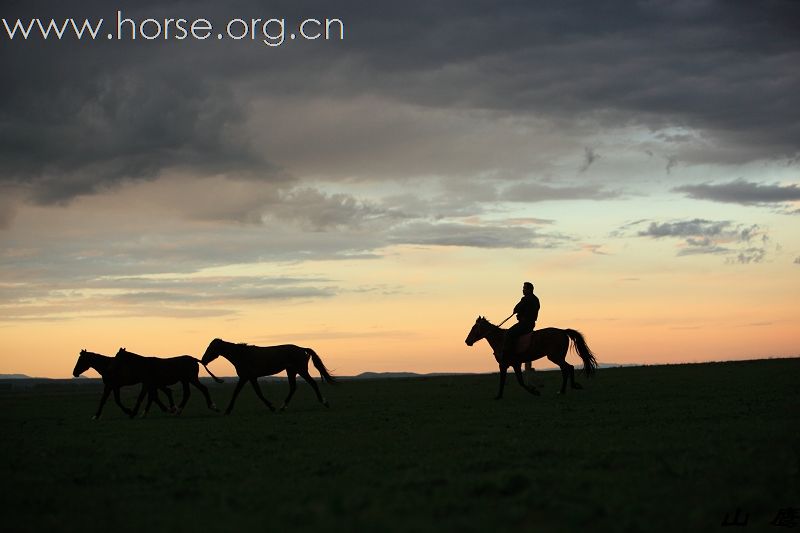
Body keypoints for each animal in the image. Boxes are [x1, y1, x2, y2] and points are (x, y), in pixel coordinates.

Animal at [203, 336, 338, 416]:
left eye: (211, 348)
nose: (203, 360)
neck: (242, 355)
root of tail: (302, 349)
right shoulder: (251, 378)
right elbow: (258, 393)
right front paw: (271, 407)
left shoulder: (245, 377)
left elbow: (237, 392)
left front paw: (227, 410)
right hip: (291, 371)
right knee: (293, 388)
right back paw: (282, 407)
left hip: (301, 370)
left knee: (313, 383)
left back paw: (324, 402)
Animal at [466, 316, 596, 400]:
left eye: (474, 328)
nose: (467, 341)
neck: (500, 339)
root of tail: (563, 331)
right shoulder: (513, 364)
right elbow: (515, 381)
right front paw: (499, 396)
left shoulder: (506, 364)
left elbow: (516, 381)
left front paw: (534, 391)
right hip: (558, 357)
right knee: (568, 368)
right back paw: (565, 389)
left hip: (555, 357)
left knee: (568, 368)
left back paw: (567, 389)